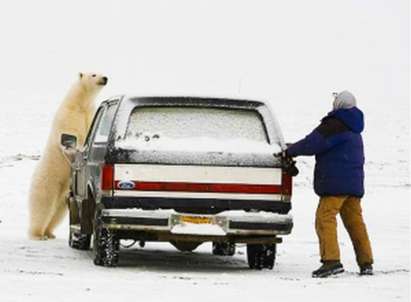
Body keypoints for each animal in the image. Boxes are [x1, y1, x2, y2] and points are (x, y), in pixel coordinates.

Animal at [29, 72, 109, 239]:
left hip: (64, 191)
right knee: (43, 206)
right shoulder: (69, 114)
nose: (105, 78)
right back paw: (38, 234)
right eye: (94, 74)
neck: (81, 103)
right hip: (48, 181)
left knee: (59, 211)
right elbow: (73, 133)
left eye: (101, 72)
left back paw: (50, 232)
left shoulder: (89, 114)